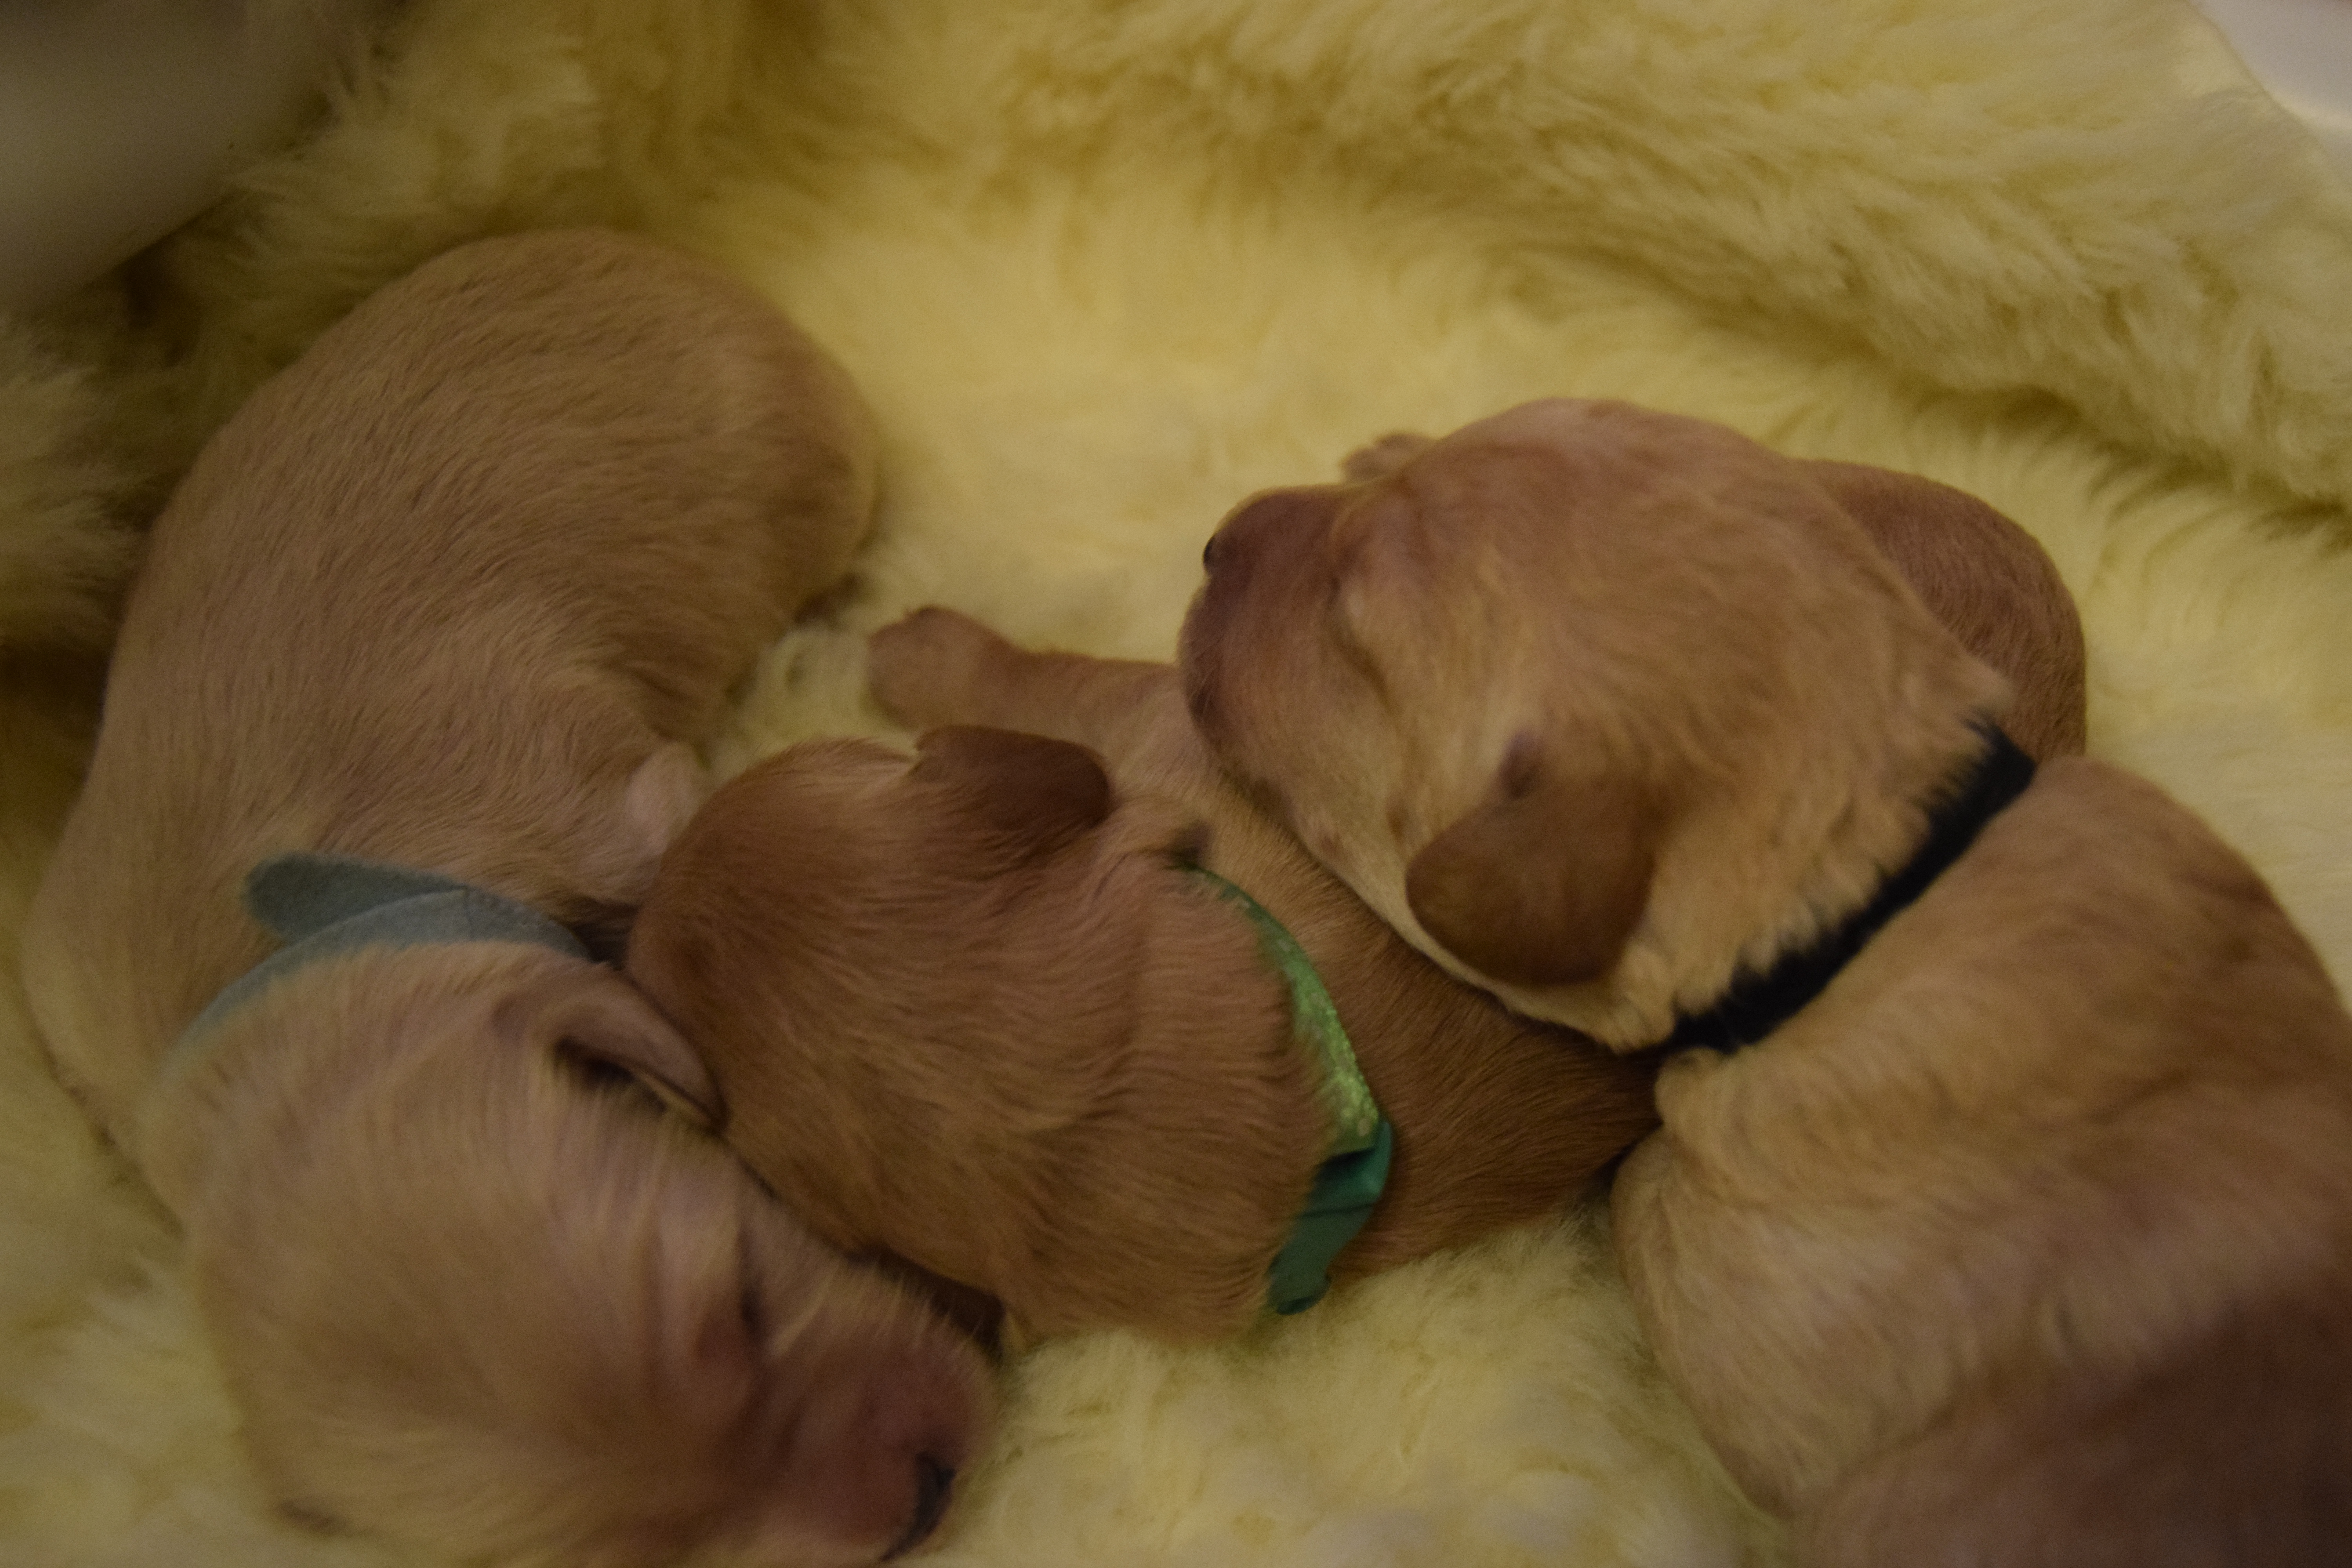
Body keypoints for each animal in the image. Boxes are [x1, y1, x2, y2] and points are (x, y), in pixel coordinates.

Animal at [20, 230, 993, 1568]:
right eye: (654, 1554)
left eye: (743, 1303)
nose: (927, 1496)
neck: (299, 960)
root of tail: (655, 259)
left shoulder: (602, 803)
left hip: (812, 463)